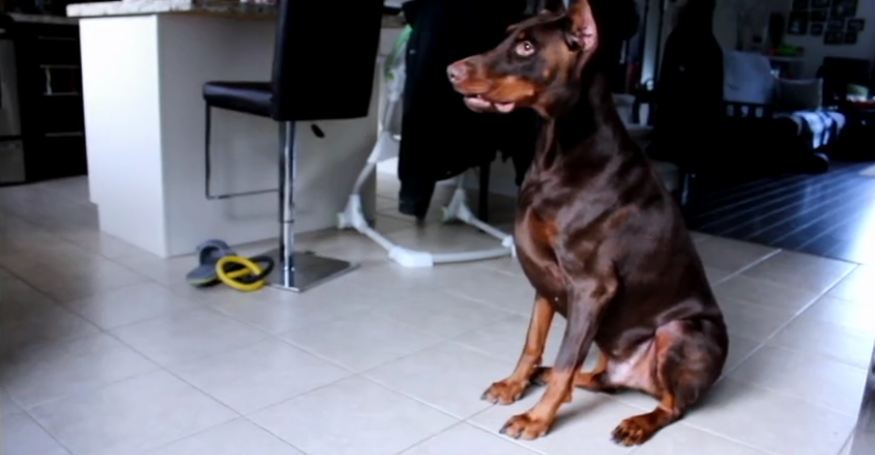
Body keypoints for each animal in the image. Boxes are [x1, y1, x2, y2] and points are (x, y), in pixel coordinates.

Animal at [448, 0, 728, 448]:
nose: (451, 71)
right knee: (599, 378)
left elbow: (565, 360)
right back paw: (552, 377)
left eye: (526, 47)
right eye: (508, 36)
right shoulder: (545, 280)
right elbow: (532, 343)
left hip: (680, 331)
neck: (557, 151)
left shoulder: (591, 286)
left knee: (673, 406)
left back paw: (637, 423)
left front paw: (535, 419)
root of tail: (638, 379)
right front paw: (514, 384)